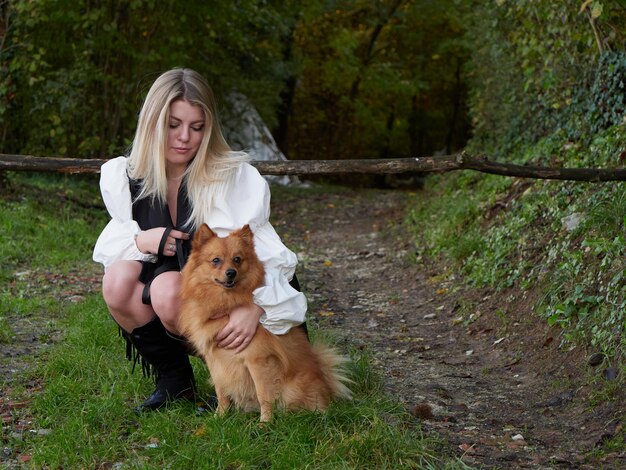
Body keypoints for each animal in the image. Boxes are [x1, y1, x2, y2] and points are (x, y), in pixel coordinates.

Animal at [179, 224, 352, 422]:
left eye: (237, 259)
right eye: (216, 260)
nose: (231, 272)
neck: (226, 305)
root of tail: (326, 384)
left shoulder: (259, 361)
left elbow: (264, 395)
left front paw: (265, 423)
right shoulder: (215, 361)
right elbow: (221, 392)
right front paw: (219, 417)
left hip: (293, 389)